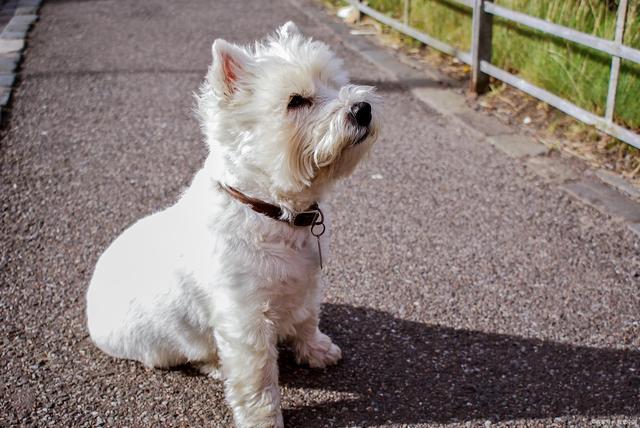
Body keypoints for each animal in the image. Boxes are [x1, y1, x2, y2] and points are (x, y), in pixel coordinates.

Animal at [89, 21, 380, 426]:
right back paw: (214, 365)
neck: (272, 211)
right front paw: (264, 420)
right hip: (163, 346)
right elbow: (257, 376)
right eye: (296, 101)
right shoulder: (245, 317)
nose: (362, 108)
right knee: (196, 355)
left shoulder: (307, 282)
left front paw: (315, 350)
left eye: (334, 83)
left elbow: (307, 318)